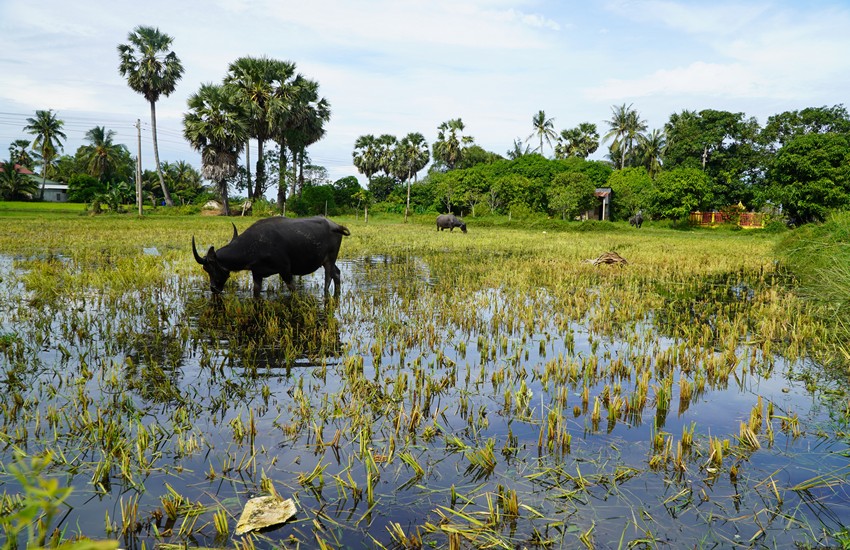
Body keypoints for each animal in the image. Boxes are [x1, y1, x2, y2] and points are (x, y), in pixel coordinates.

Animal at [192, 216, 350, 297]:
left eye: (208, 268)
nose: (213, 288)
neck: (253, 245)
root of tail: (335, 226)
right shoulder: (257, 273)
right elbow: (256, 292)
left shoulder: (285, 270)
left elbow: (293, 290)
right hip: (327, 260)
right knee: (337, 273)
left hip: (329, 260)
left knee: (328, 278)